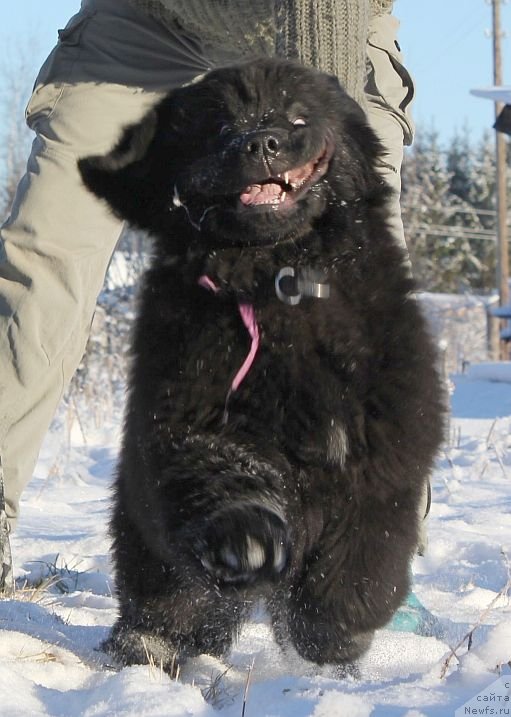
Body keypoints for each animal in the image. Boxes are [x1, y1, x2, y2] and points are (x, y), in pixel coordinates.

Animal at [78, 58, 446, 668]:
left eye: (297, 114)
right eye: (219, 127)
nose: (261, 142)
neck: (277, 274)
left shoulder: (385, 445)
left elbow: (367, 552)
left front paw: (332, 630)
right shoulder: (188, 407)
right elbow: (222, 471)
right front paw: (248, 541)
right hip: (146, 532)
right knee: (165, 597)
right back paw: (145, 647)